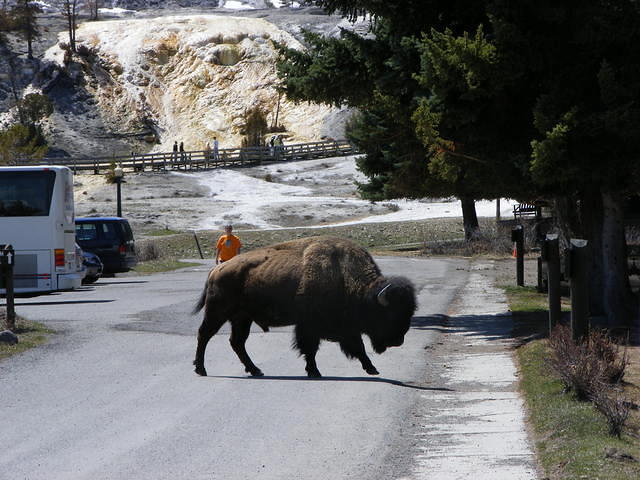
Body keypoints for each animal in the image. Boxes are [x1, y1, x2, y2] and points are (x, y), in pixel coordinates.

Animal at [192, 236, 418, 378]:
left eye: (409, 312)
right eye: (389, 314)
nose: (398, 341)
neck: (345, 277)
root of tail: (217, 270)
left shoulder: (342, 328)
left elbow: (355, 347)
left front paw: (372, 369)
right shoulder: (312, 326)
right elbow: (313, 349)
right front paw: (315, 372)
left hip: (242, 318)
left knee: (237, 342)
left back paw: (256, 370)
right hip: (218, 313)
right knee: (204, 335)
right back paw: (201, 369)